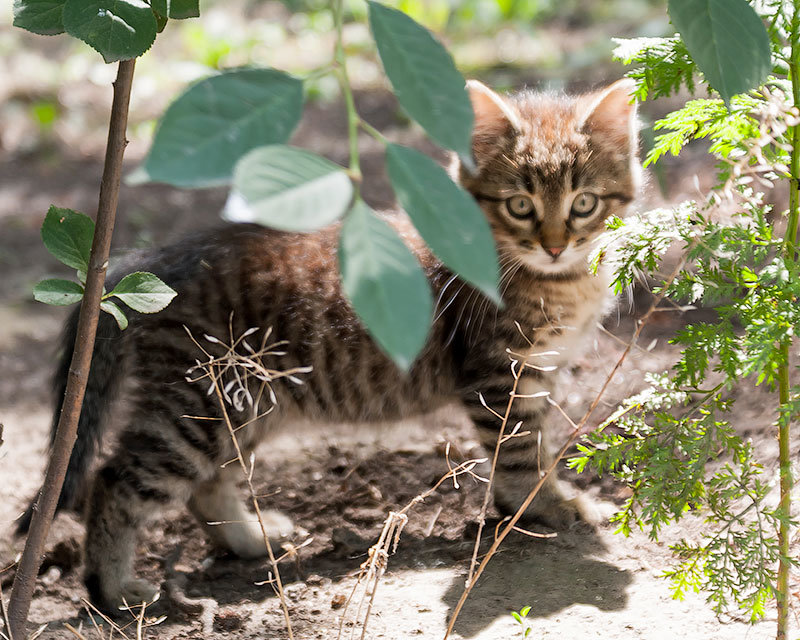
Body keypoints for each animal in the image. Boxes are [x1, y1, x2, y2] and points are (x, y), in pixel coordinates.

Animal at [21, 79, 640, 608]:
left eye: (583, 203)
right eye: (520, 206)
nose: (555, 246)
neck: (559, 281)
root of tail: (147, 261)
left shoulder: (539, 370)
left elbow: (539, 443)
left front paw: (542, 499)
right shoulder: (498, 373)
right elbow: (519, 451)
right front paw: (544, 506)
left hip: (241, 404)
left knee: (207, 484)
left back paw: (251, 539)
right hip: (195, 406)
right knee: (114, 479)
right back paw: (112, 588)